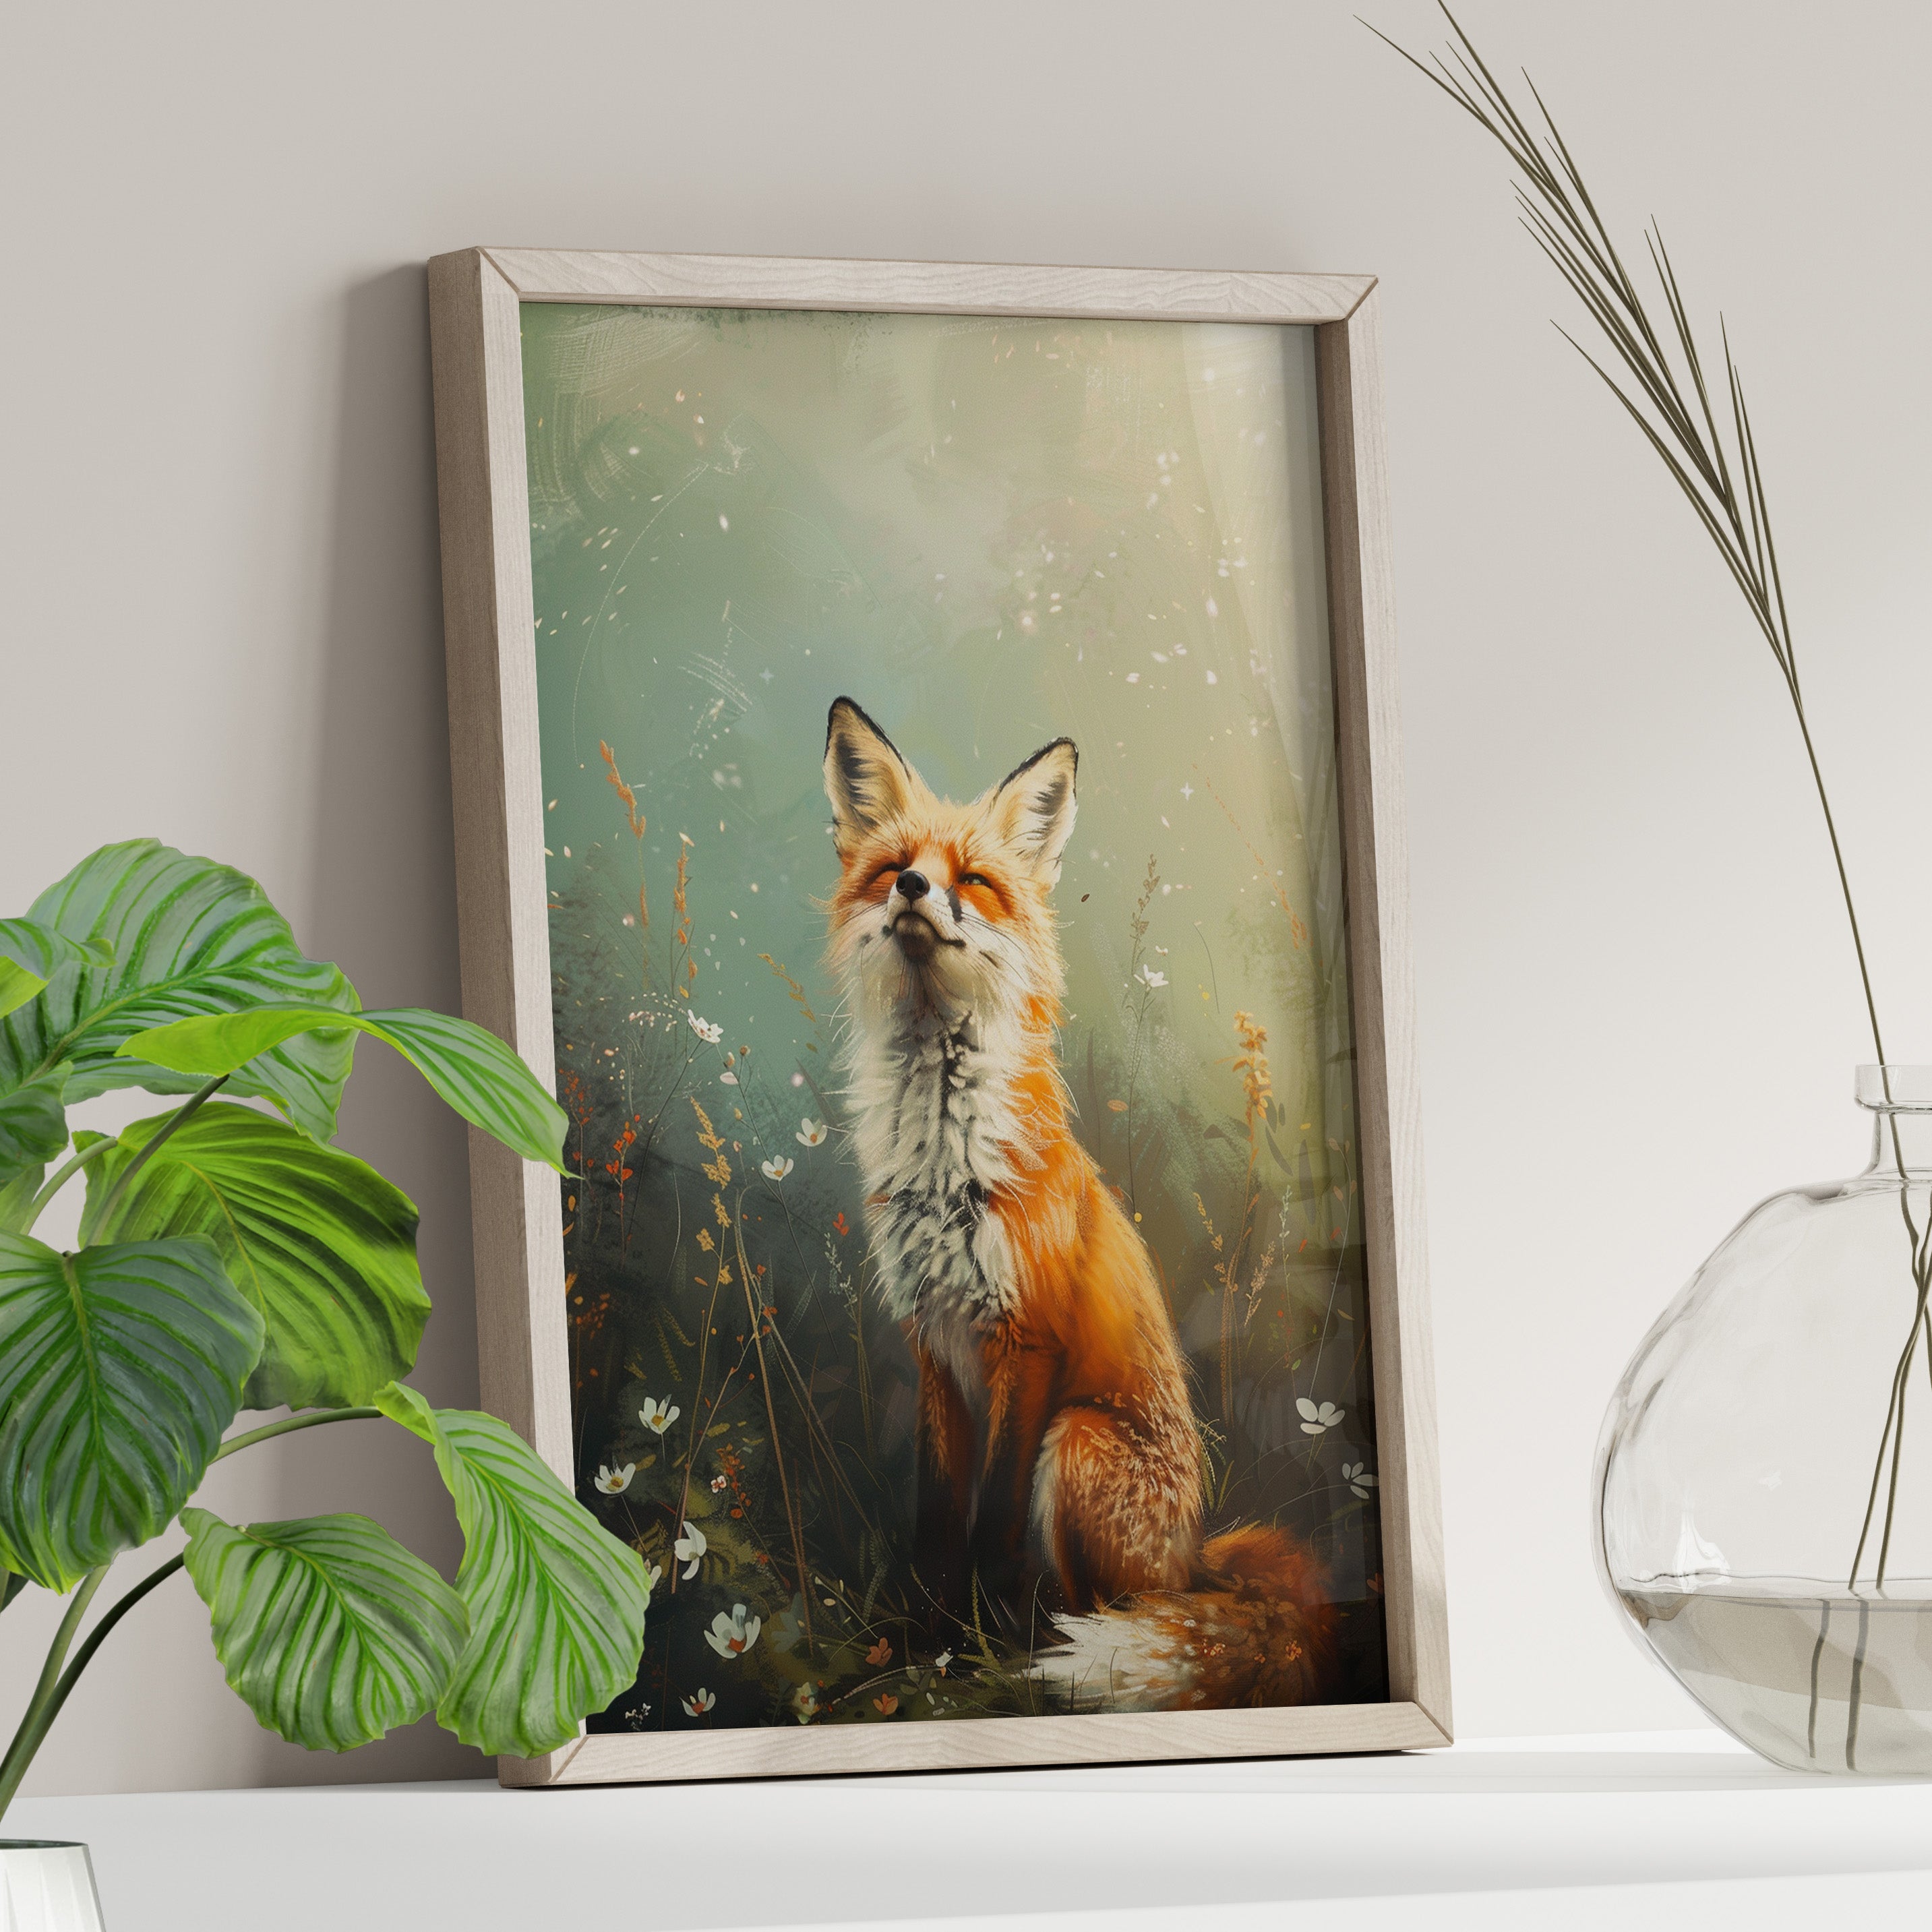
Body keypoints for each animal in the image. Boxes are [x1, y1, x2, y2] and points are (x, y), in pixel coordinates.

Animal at [821, 696, 1335, 1712]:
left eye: (974, 881)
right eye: (893, 868)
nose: (913, 888)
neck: (945, 1155)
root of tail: (1194, 1559)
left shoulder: (1027, 1341)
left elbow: (988, 1525)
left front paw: (976, 1649)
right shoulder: (932, 1343)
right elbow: (936, 1519)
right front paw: (921, 1640)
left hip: (1080, 1436)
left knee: (1110, 1604)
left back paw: (1060, 1642)